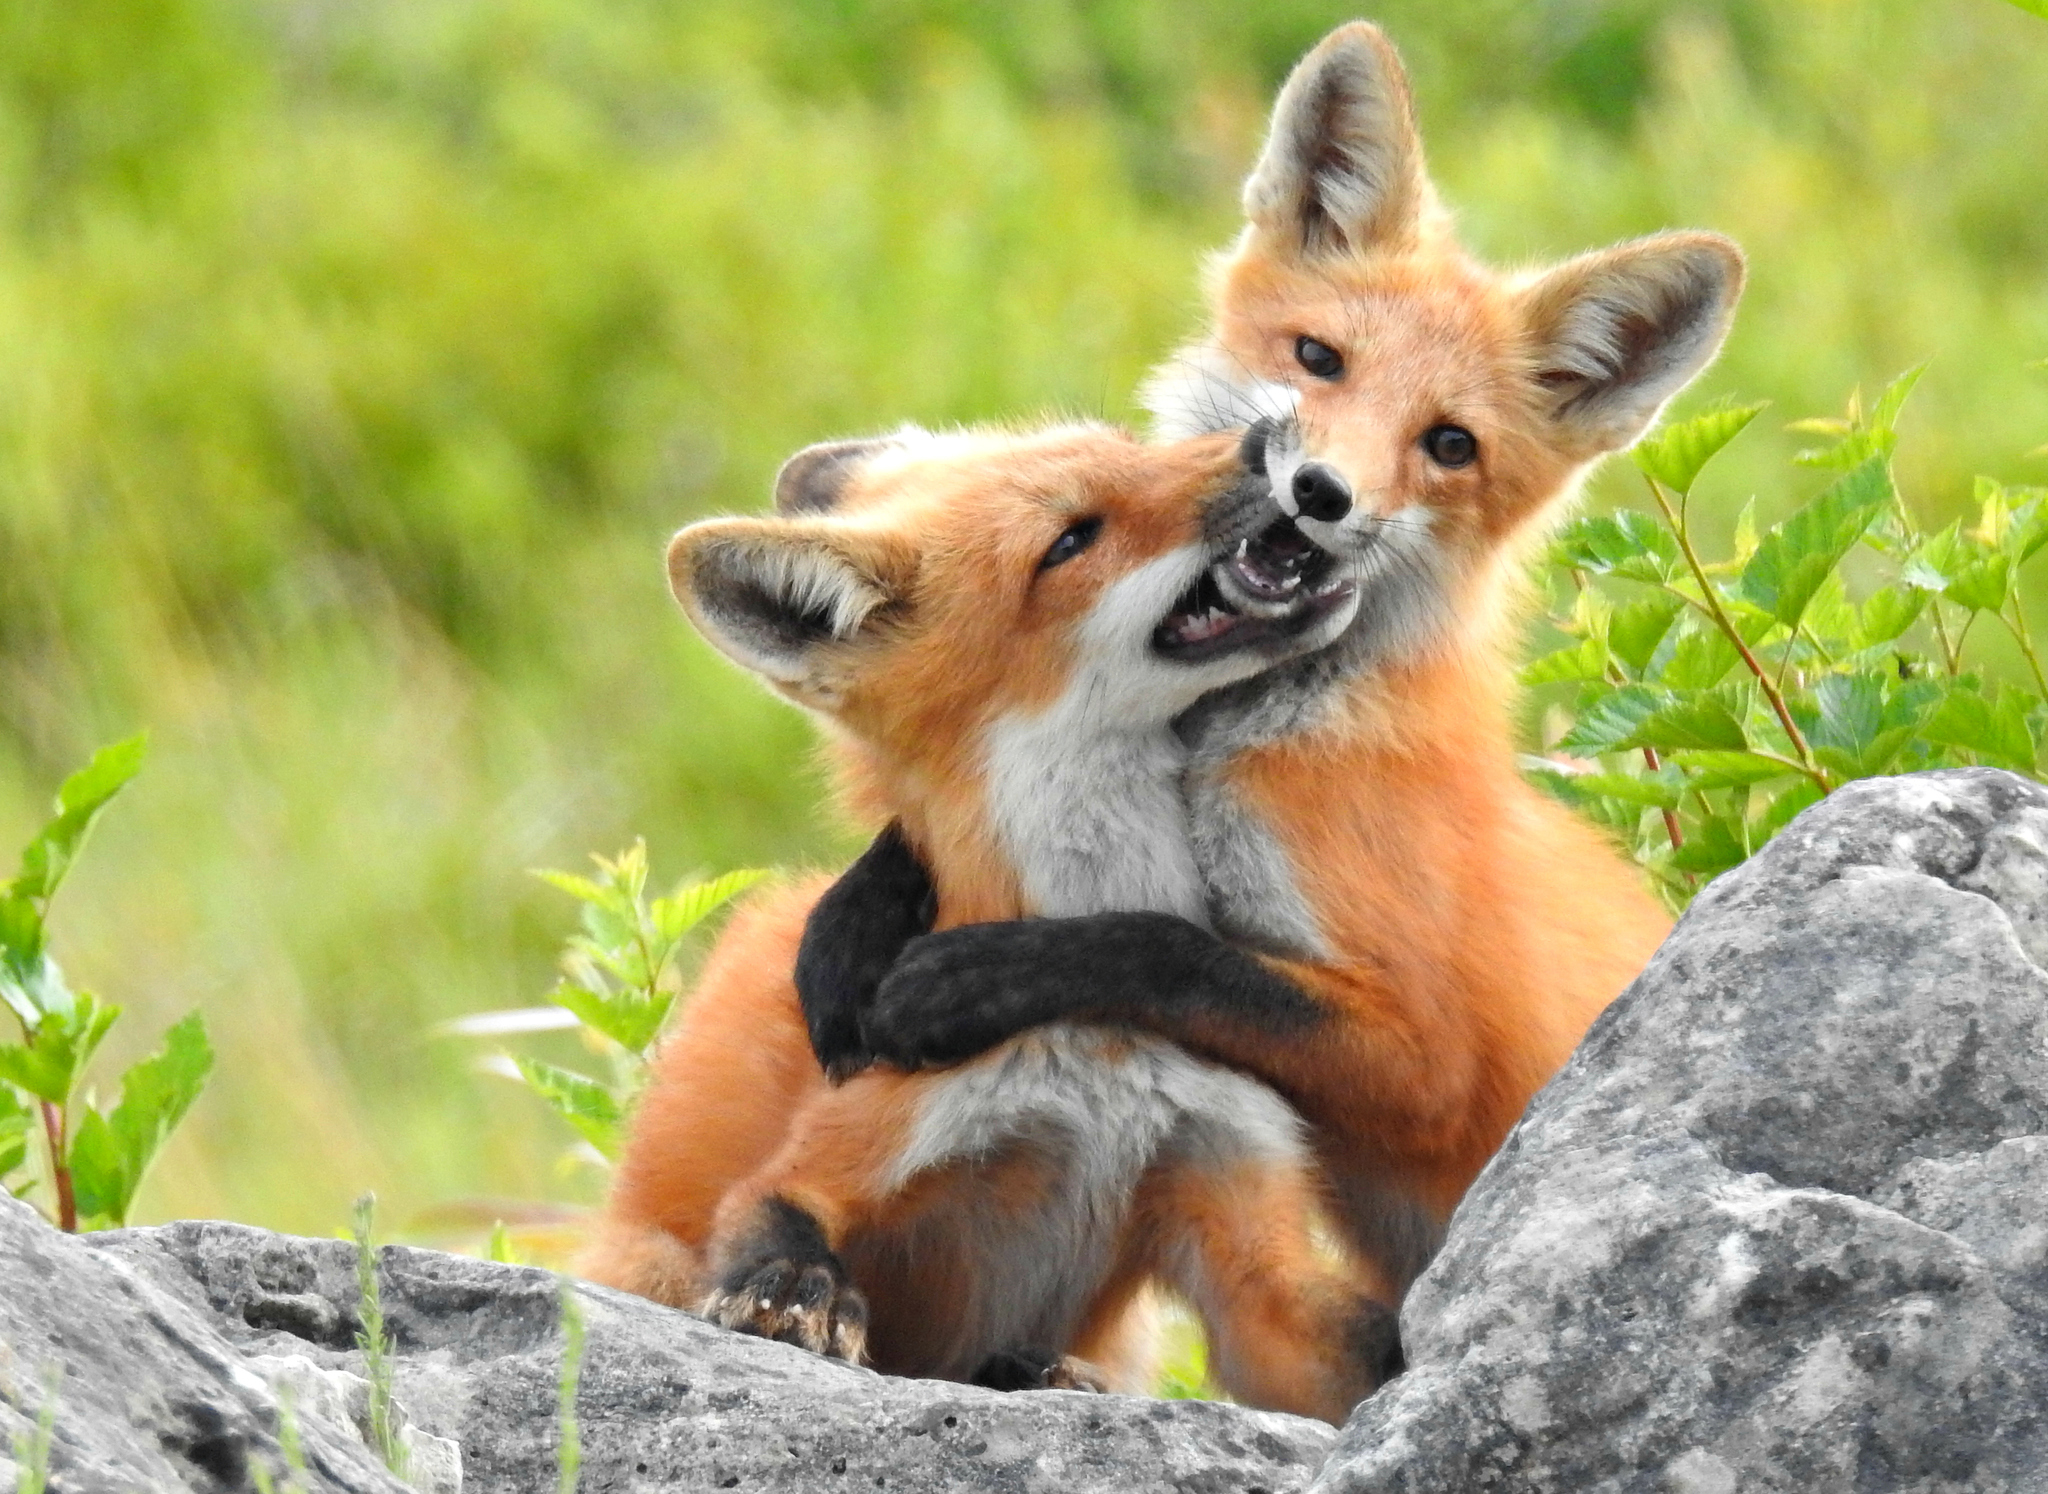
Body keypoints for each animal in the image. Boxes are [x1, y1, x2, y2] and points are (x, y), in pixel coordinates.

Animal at [580, 421, 1402, 1423]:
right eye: (1071, 540)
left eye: (1130, 445)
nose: (1265, 435)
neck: (1101, 1056)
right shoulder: (860, 1143)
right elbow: (776, 1217)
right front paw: (796, 1294)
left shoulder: (1240, 1217)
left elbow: (1361, 1344)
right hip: (650, 1258)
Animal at [815, 20, 1743, 1307]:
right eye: (1319, 358)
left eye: (1447, 445)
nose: (1317, 494)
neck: (1226, 745)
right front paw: (846, 928)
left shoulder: (1422, 1056)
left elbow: (1169, 951)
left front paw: (975, 976)